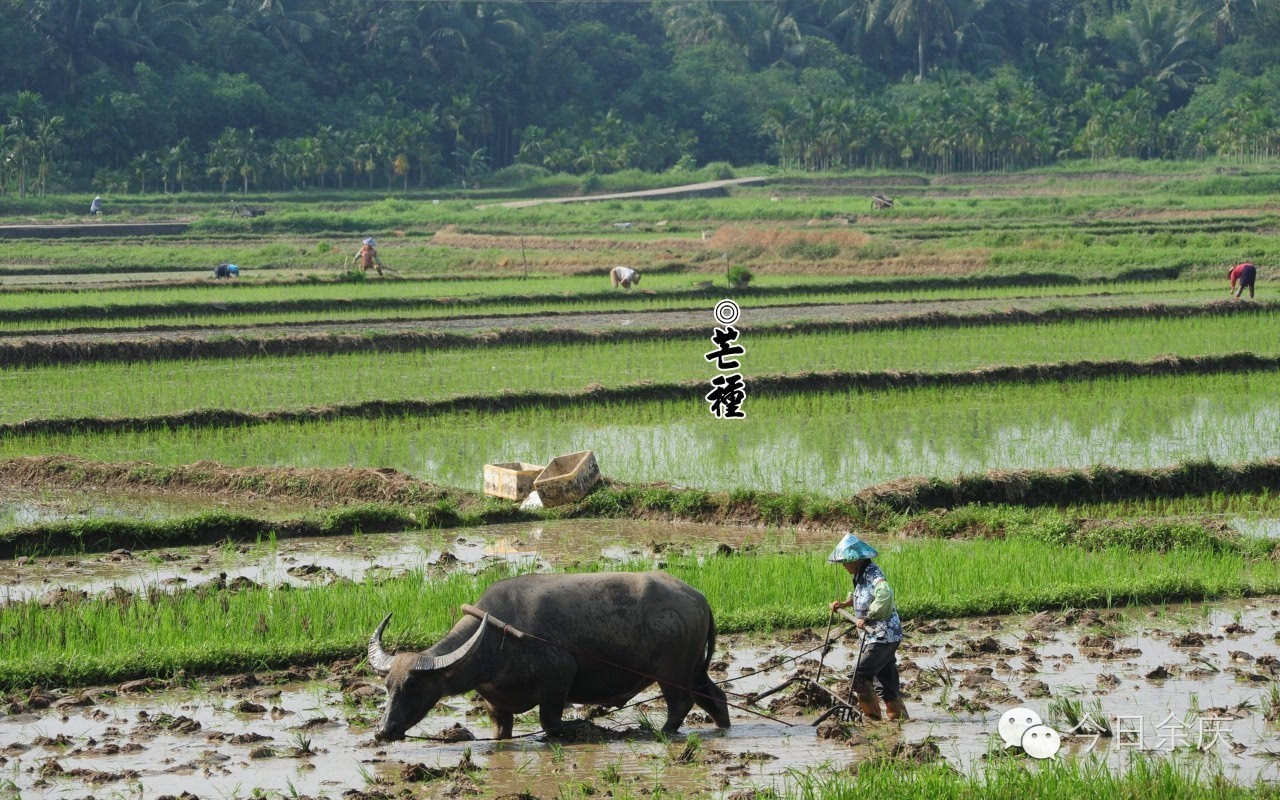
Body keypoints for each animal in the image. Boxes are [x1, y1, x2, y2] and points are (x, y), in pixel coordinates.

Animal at [368, 570, 732, 737]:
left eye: (413, 685)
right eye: (387, 687)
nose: (383, 731)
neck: (495, 640)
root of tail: (697, 597)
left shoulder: (558, 681)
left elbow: (550, 723)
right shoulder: (497, 708)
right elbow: (502, 732)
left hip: (672, 674)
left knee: (681, 704)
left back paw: (660, 732)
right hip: (694, 671)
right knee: (714, 698)